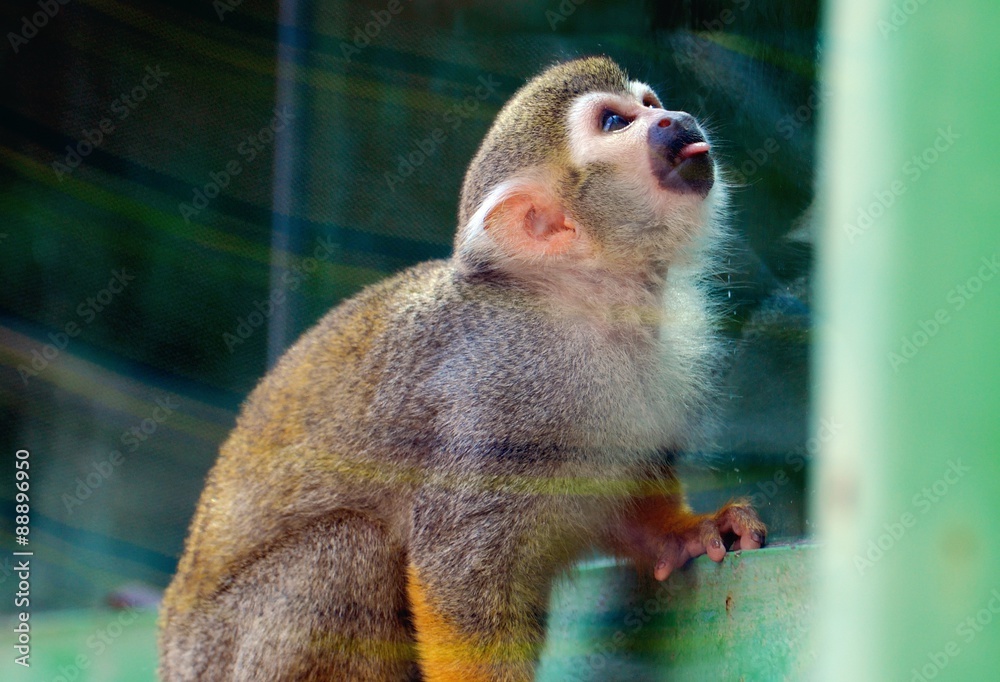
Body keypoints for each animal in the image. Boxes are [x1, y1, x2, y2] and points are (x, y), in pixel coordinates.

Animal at [158, 56, 766, 682]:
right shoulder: (497, 391)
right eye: (615, 121)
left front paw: (681, 532)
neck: (588, 306)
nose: (674, 117)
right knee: (345, 552)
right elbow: (458, 576)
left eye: (648, 103)